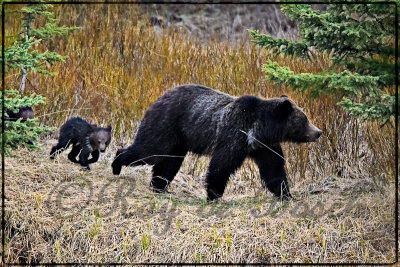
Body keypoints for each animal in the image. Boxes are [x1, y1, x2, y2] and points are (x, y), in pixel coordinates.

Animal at [111, 85, 322, 201]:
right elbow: (221, 165)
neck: (258, 130)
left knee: (169, 163)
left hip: (178, 141)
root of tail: (160, 97)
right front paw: (213, 195)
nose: (318, 132)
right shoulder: (234, 135)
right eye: (304, 120)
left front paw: (286, 194)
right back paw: (116, 163)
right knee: (148, 150)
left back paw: (160, 187)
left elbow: (274, 169)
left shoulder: (264, 147)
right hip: (166, 125)